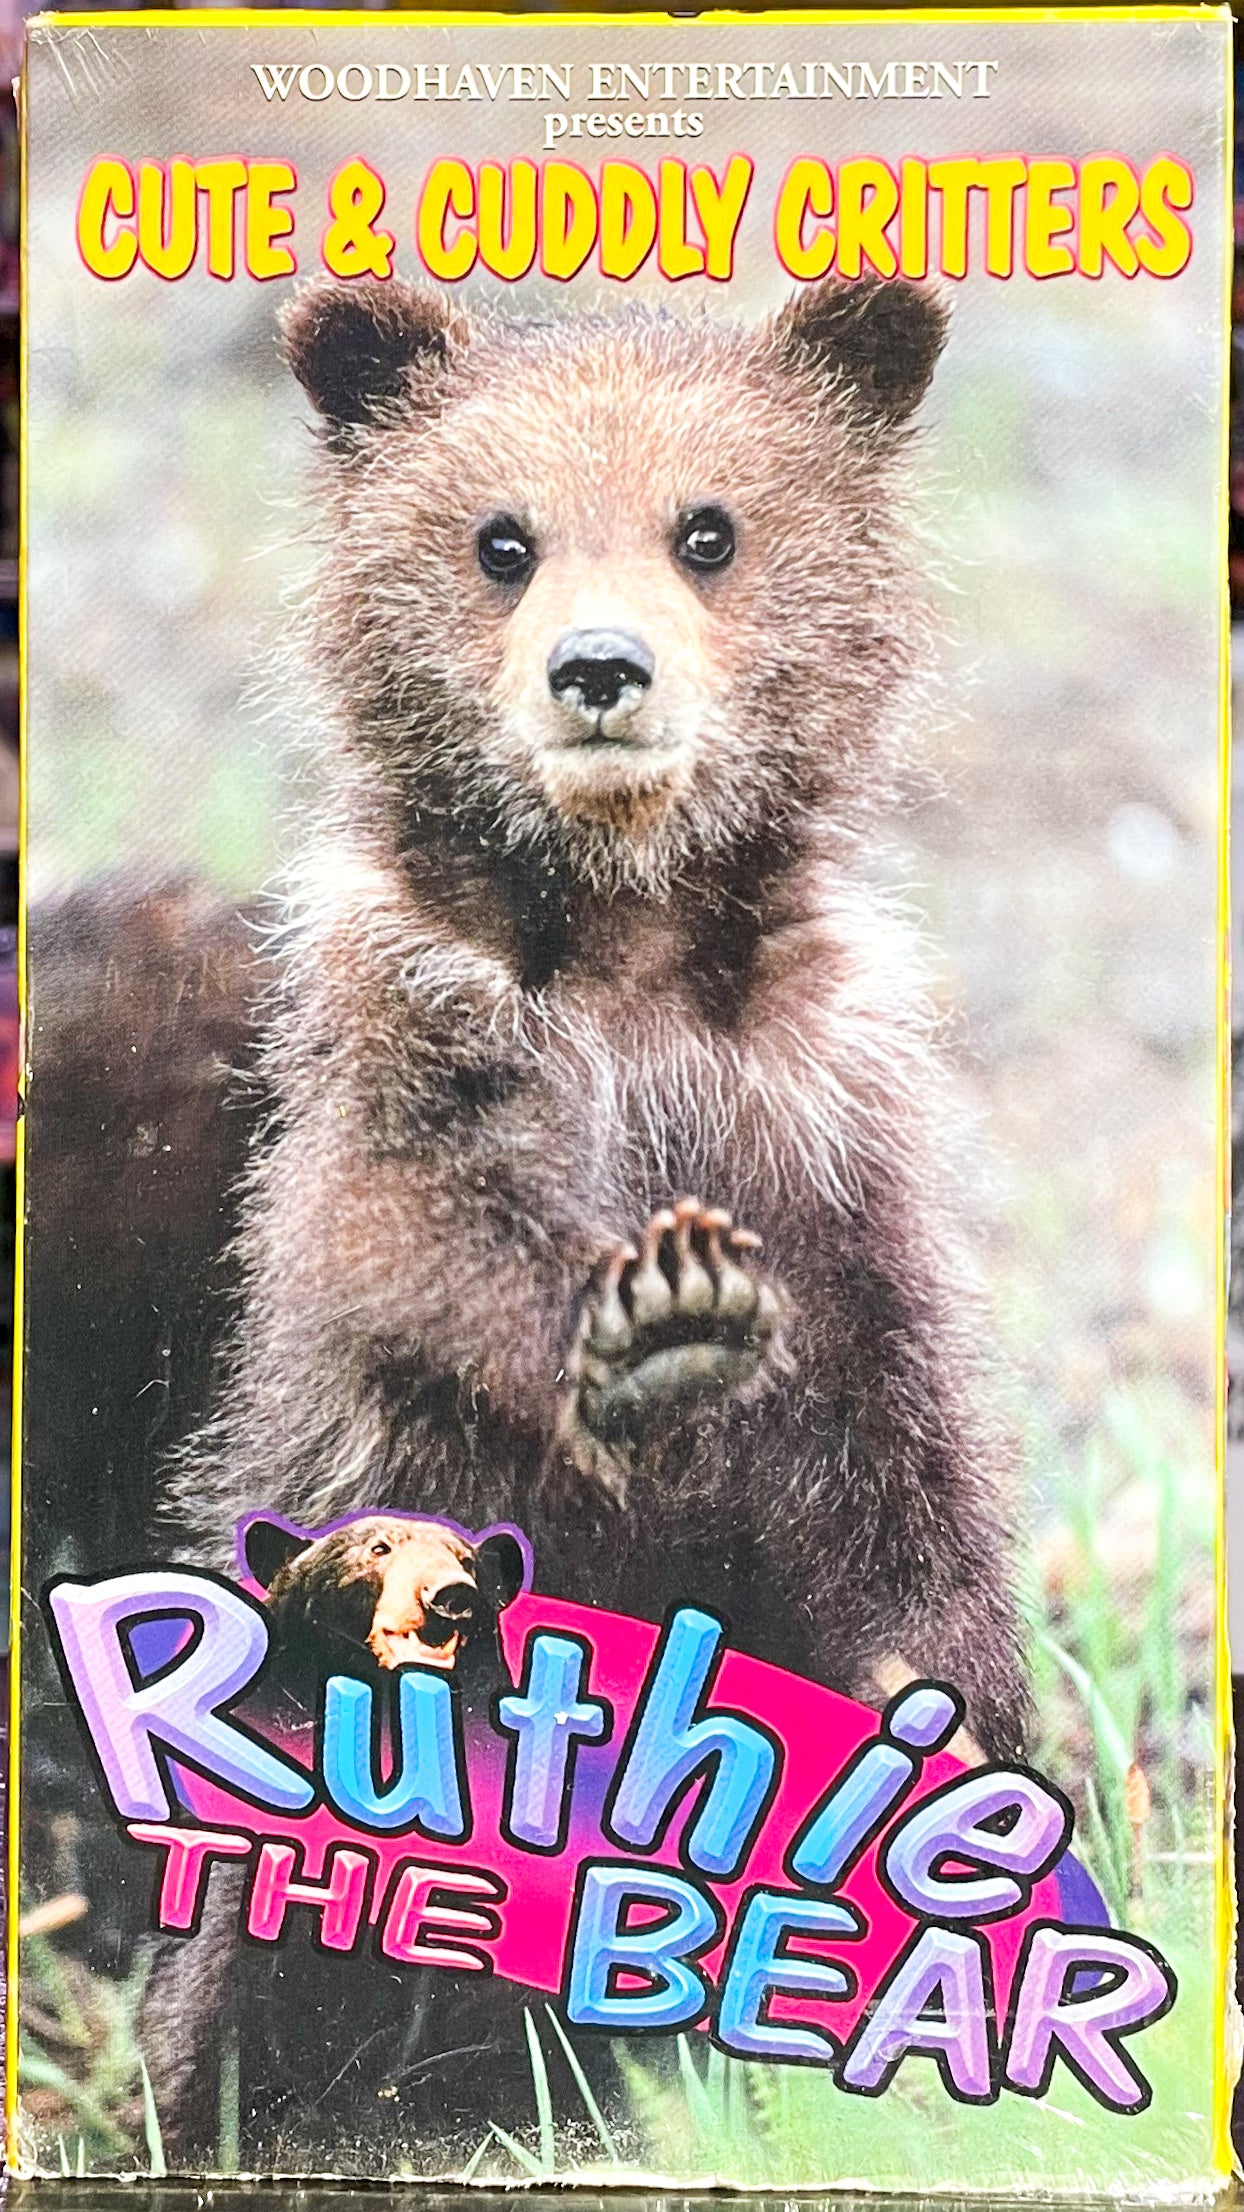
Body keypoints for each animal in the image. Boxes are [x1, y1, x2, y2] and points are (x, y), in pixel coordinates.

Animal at [129, 270, 1032, 2169]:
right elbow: (419, 1241)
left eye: (709, 528)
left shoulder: (822, 1116)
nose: (598, 668)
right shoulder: (414, 1044)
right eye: (500, 537)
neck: (623, 945)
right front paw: (658, 1318)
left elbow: (901, 1500)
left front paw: (952, 1755)